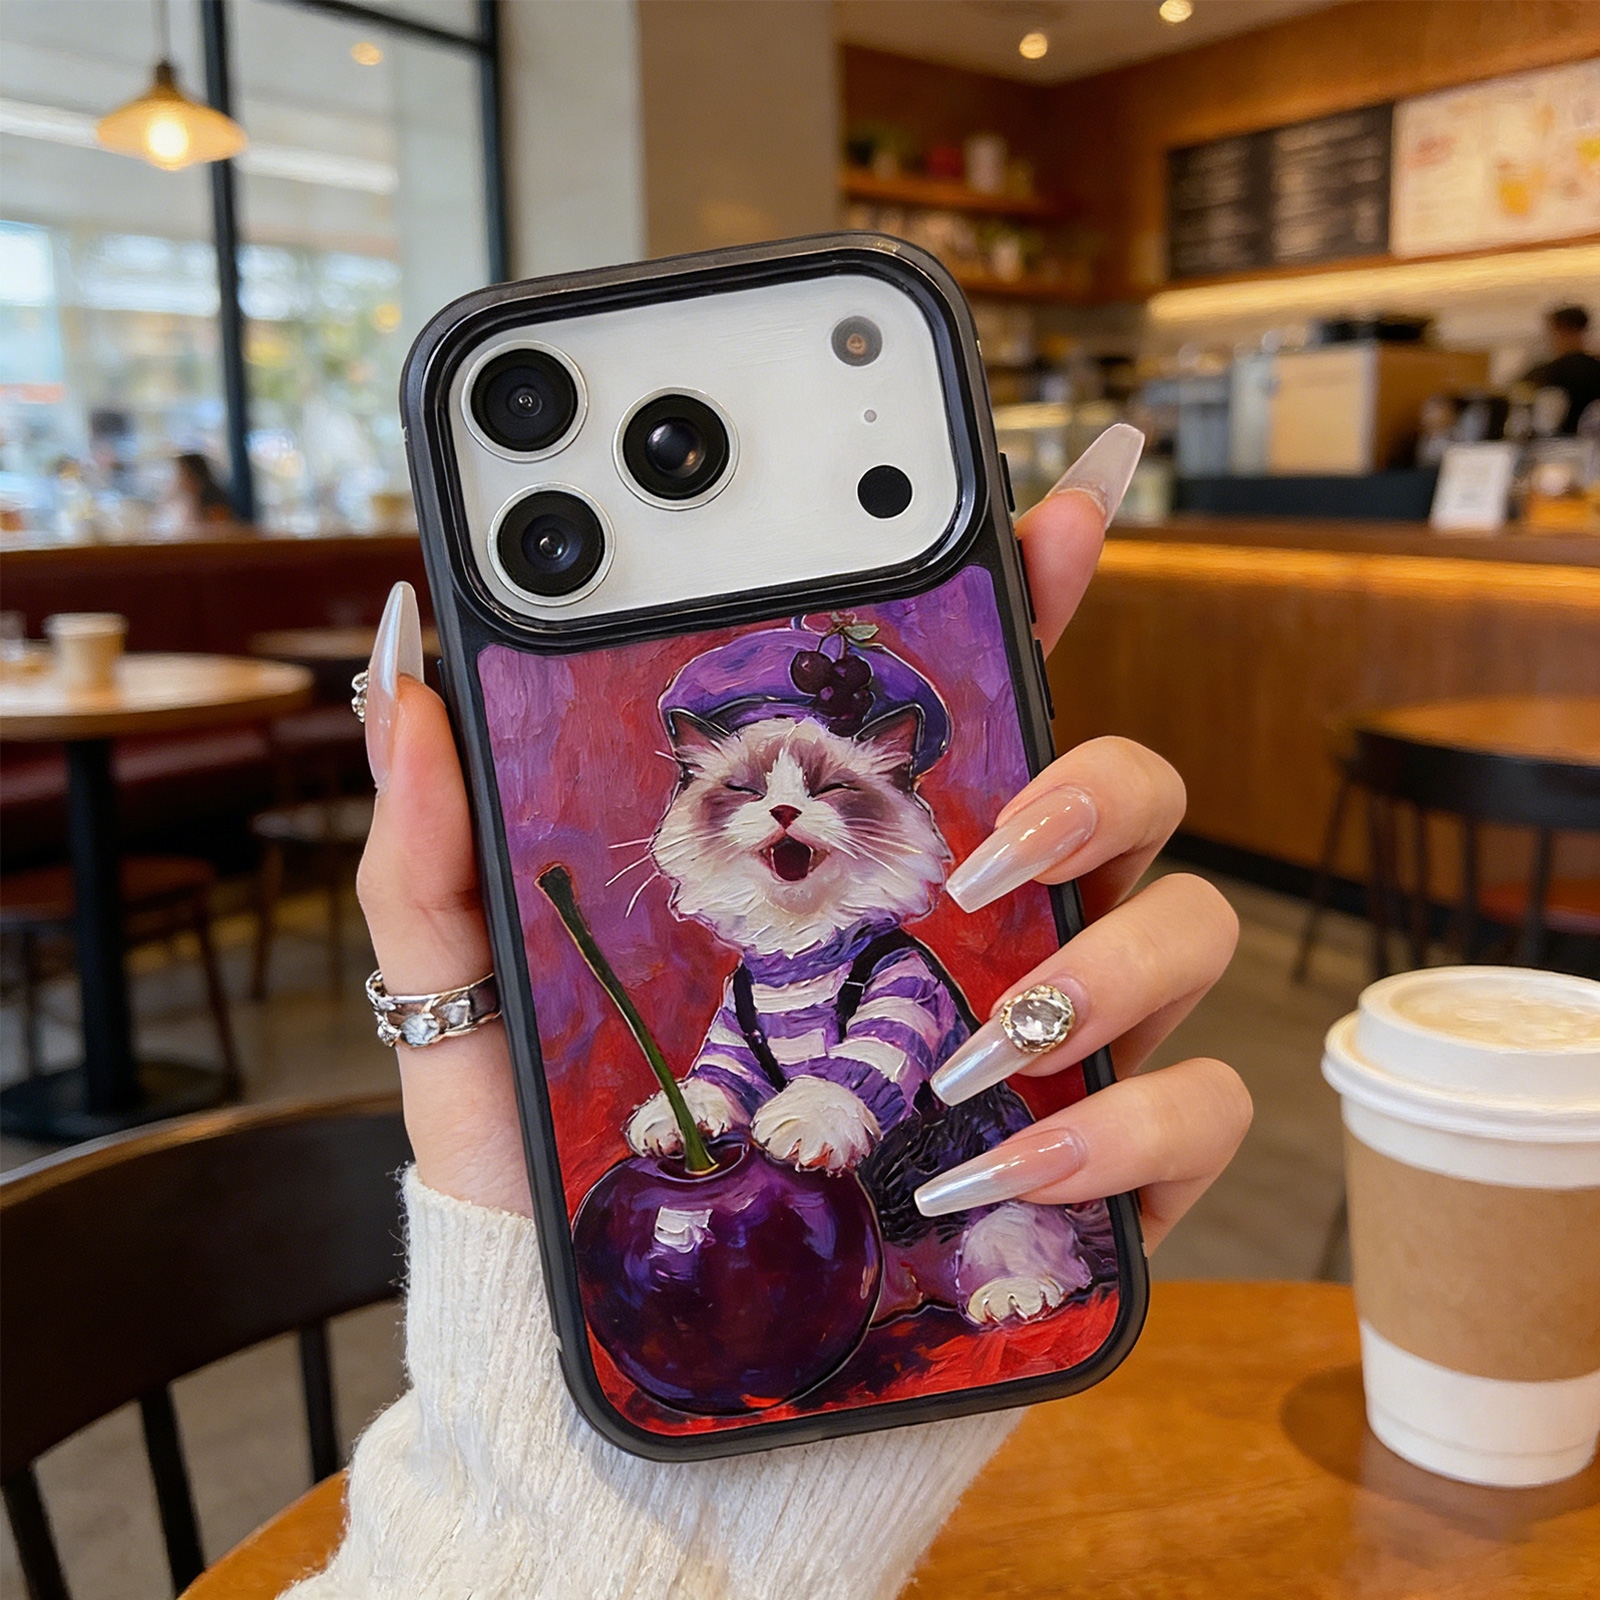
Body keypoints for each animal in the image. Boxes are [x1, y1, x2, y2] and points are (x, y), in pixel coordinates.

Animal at [626, 706, 1113, 1327]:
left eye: (829, 789)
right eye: (746, 791)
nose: (784, 812)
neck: (801, 957)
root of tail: (924, 1276)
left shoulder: (899, 1005)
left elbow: (841, 1081)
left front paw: (798, 1130)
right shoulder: (734, 1040)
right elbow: (711, 1084)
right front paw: (667, 1121)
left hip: (998, 1199)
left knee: (1028, 1249)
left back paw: (1007, 1296)